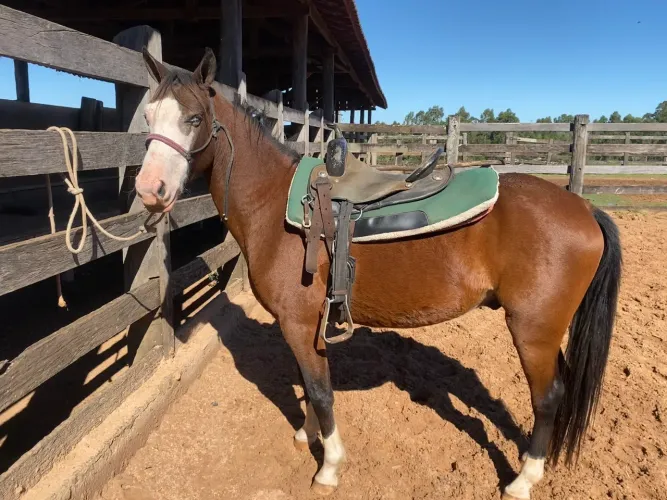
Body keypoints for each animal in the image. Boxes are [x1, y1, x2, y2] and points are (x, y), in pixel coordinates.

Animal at [134, 48, 621, 500]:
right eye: (148, 116)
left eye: (194, 118)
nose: (149, 190)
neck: (274, 205)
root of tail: (585, 209)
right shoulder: (305, 326)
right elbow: (309, 384)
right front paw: (306, 433)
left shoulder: (297, 322)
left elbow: (321, 390)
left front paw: (329, 467)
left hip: (533, 330)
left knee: (548, 397)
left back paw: (523, 480)